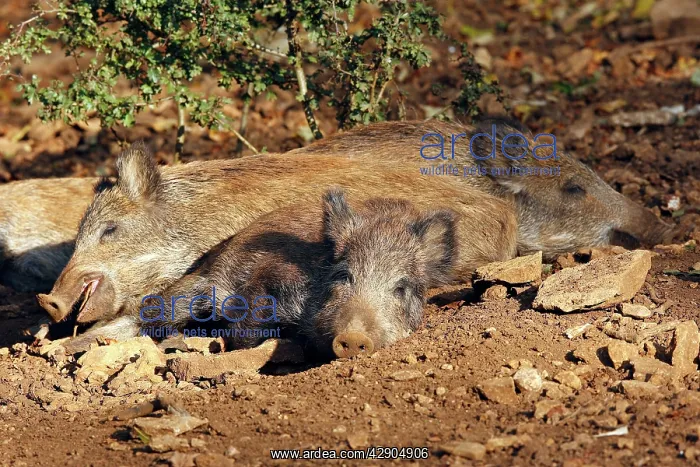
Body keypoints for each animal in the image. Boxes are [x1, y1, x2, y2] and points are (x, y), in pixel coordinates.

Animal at [65, 189, 460, 358]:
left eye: (402, 288)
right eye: (344, 276)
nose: (353, 338)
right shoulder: (268, 280)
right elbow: (247, 325)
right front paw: (226, 343)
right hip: (194, 287)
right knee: (148, 314)